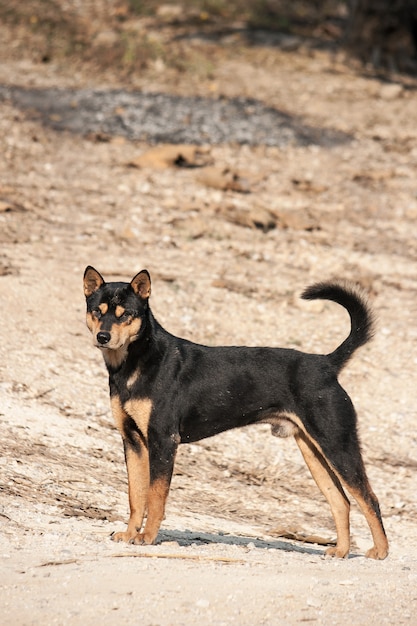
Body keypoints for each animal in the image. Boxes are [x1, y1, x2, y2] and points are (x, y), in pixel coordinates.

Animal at [83, 266, 388, 560]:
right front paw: (130, 533)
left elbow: (155, 497)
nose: (103, 337)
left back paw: (381, 551)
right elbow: (136, 496)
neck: (137, 361)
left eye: (126, 315)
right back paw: (341, 551)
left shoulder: (163, 440)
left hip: (338, 445)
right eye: (97, 311)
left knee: (369, 498)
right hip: (313, 450)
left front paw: (147, 537)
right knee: (341, 501)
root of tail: (326, 364)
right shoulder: (132, 441)